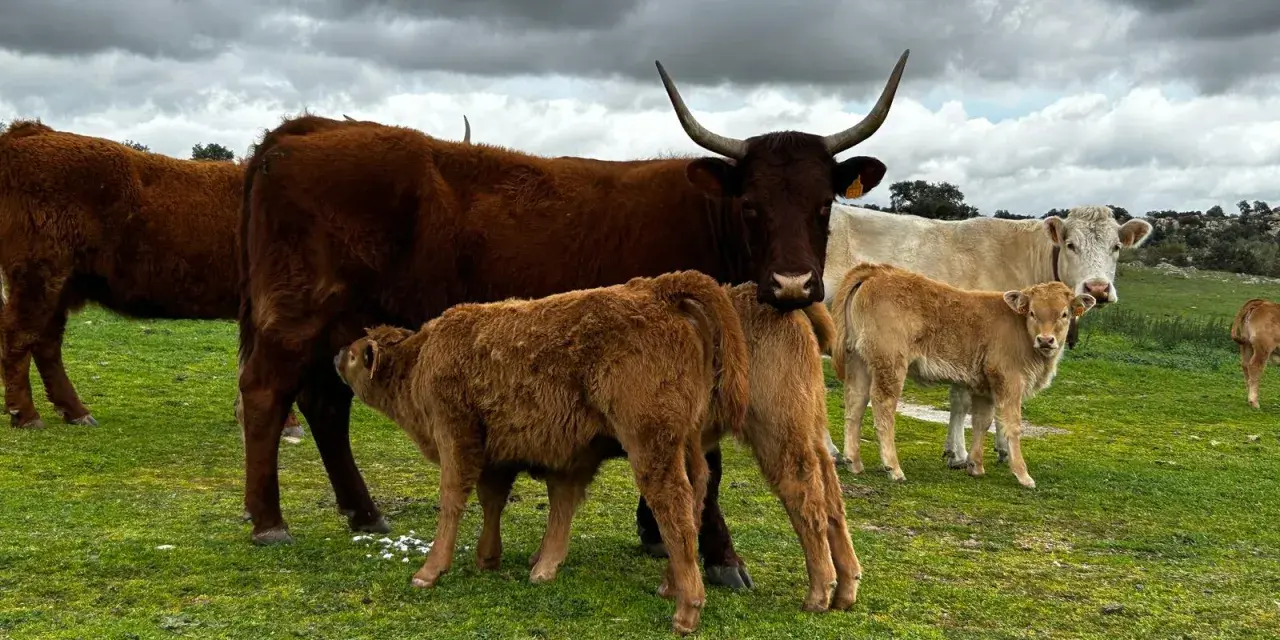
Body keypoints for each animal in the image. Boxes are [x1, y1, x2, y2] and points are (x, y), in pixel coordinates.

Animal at [0, 118, 469, 434]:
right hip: (38, 275)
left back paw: (75, 411)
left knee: (46, 342)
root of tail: (30, 133)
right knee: (20, 336)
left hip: (61, 284)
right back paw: (26, 415)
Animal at [236, 50, 910, 595]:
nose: (793, 285)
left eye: (823, 203)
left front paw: (657, 534)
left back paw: (363, 512)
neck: (708, 220)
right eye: (750, 205)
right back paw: (269, 522)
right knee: (267, 395)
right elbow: (709, 467)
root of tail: (305, 128)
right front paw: (719, 556)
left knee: (326, 403)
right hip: (294, 319)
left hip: (341, 325)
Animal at [830, 262, 1097, 487]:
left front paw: (975, 465)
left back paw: (853, 461)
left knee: (855, 404)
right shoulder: (1009, 381)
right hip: (890, 364)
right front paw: (1023, 475)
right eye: (1032, 312)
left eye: (1064, 314)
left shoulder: (984, 387)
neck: (1020, 330)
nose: (1046, 340)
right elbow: (1012, 425)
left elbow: (981, 422)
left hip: (858, 361)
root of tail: (877, 271)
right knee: (882, 408)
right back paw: (893, 468)